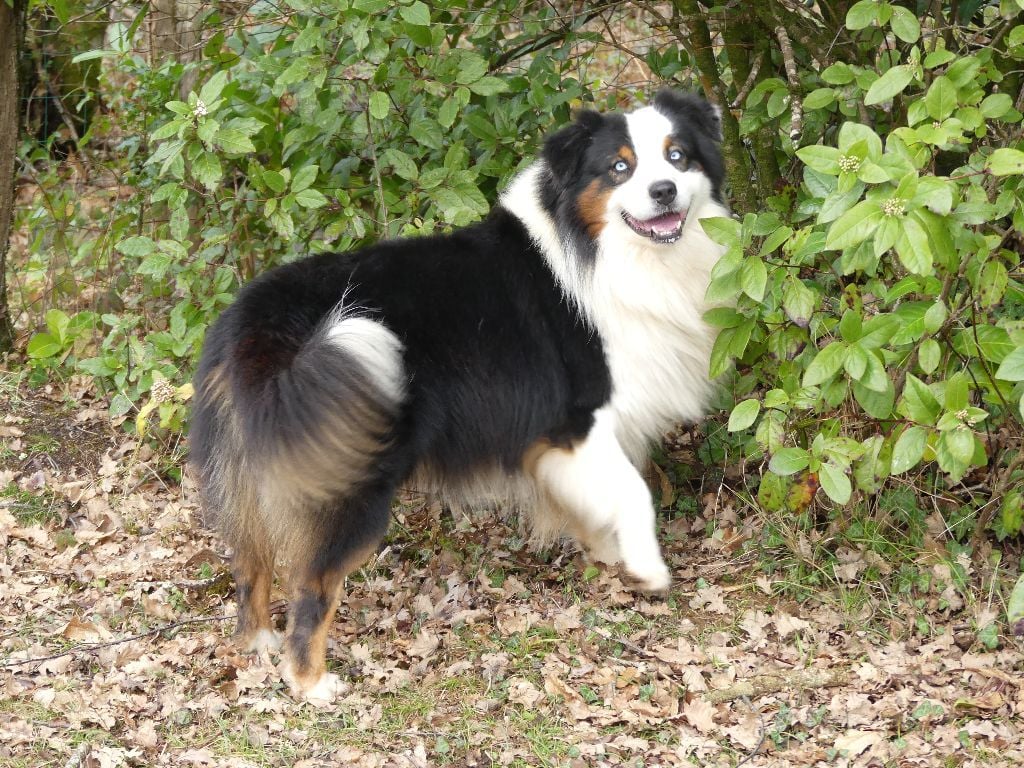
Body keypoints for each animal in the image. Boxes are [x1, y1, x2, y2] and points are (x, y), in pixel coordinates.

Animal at [190, 89, 728, 700]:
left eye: (678, 156)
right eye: (620, 168)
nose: (663, 191)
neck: (598, 250)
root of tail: (259, 326)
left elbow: (597, 502)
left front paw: (610, 553)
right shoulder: (577, 421)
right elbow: (633, 491)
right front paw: (648, 567)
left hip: (245, 464)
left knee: (249, 560)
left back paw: (255, 643)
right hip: (346, 473)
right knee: (310, 579)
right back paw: (310, 681)